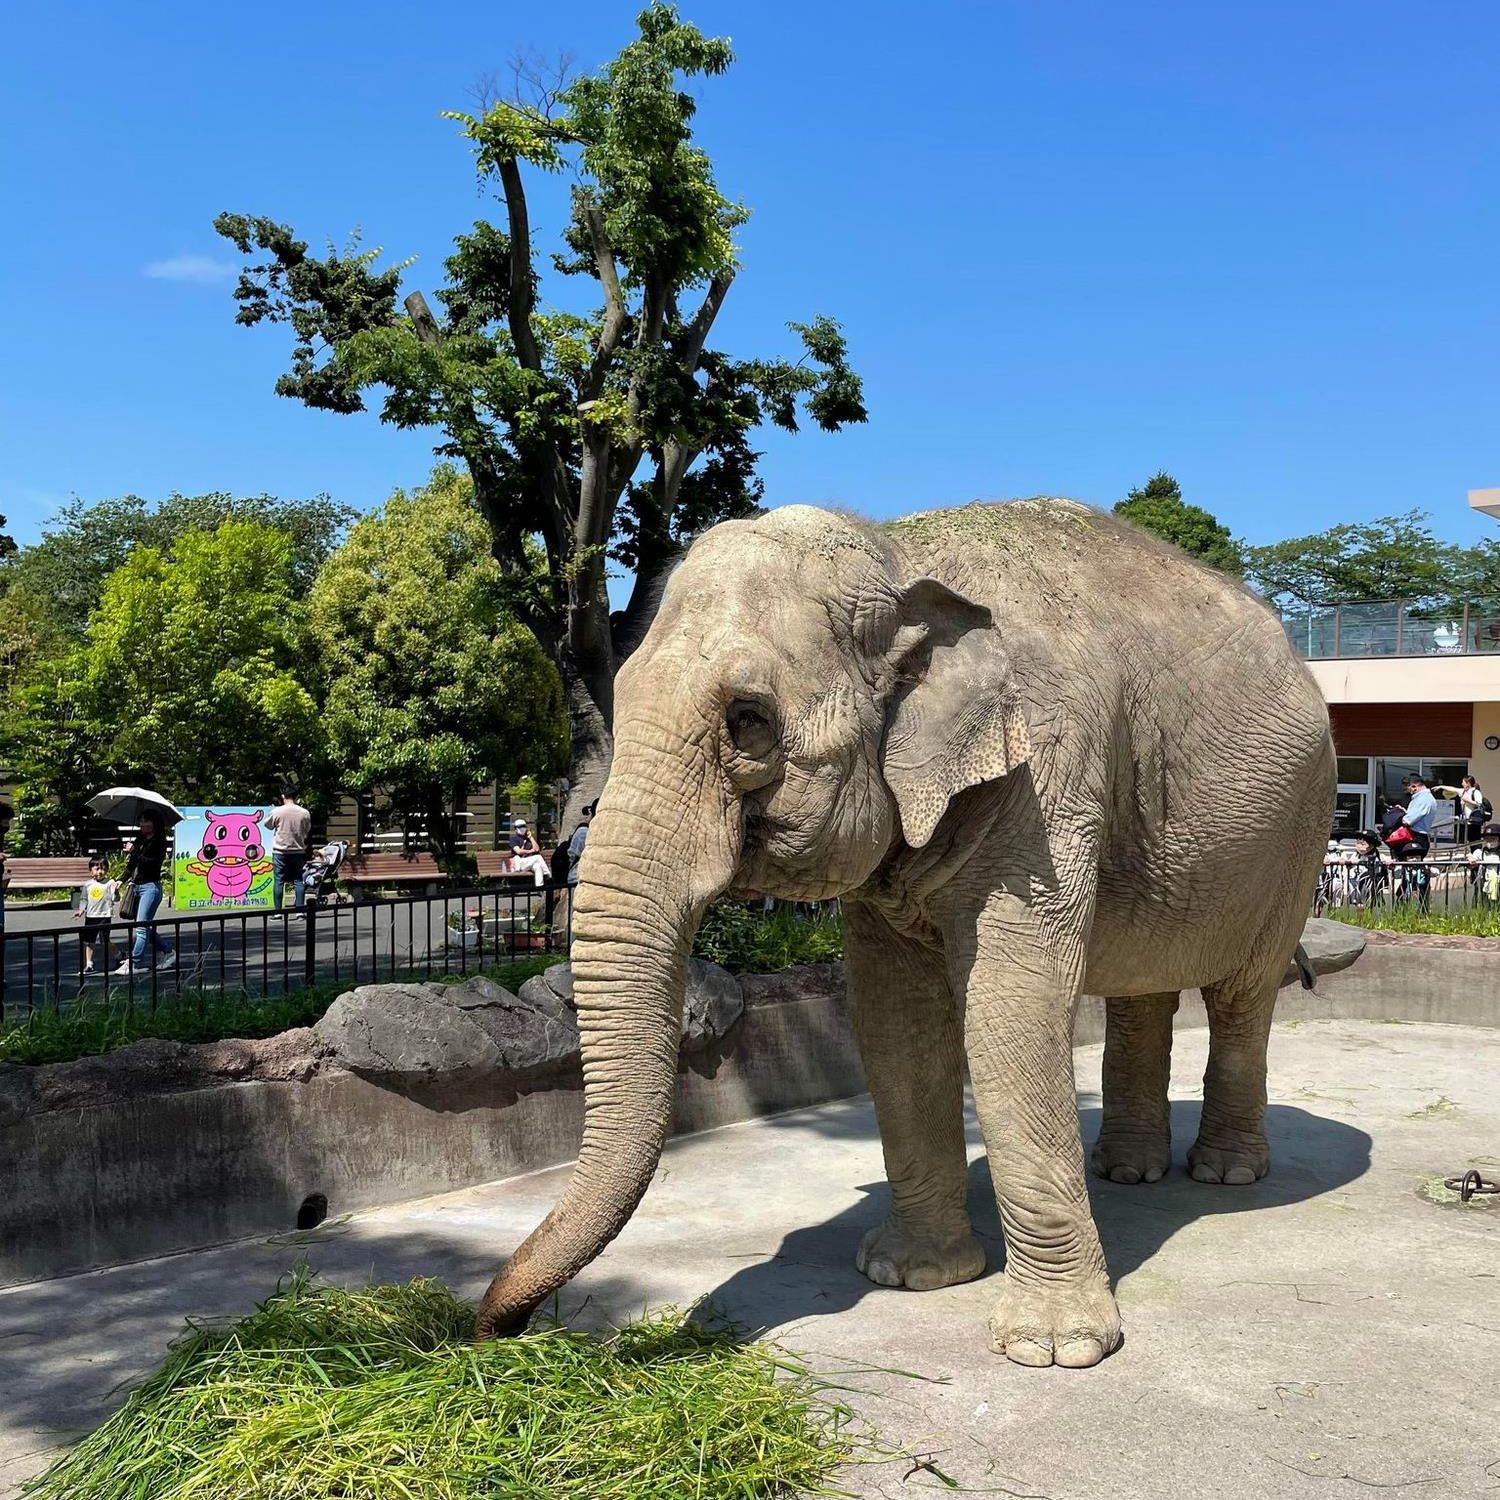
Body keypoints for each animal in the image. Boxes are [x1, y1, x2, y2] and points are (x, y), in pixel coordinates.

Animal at [474, 498, 1332, 1368]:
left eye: (748, 722)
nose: (496, 1332)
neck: (898, 551)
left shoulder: (1048, 778)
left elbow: (1008, 1010)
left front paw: (1055, 1350)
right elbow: (895, 1020)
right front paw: (910, 1276)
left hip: (1299, 833)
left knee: (1242, 996)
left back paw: (1225, 1174)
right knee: (1142, 989)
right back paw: (1127, 1172)